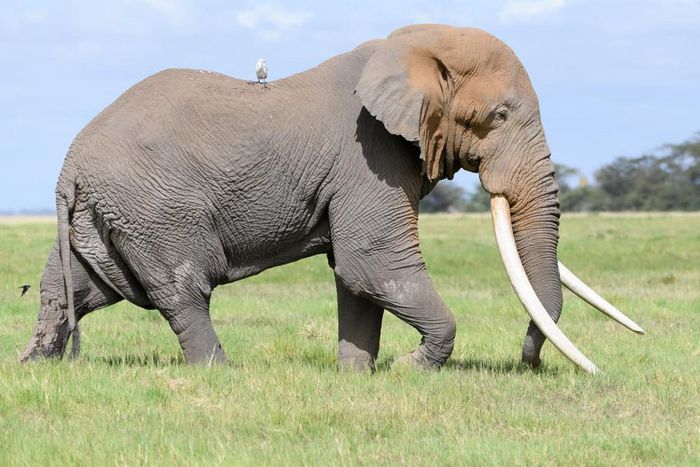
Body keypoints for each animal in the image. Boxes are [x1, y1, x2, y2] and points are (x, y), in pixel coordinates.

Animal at [21, 24, 644, 373]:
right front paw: (411, 369)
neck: (410, 48)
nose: (529, 360)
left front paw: (356, 376)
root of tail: (69, 165)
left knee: (76, 288)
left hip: (107, 215)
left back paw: (34, 366)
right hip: (155, 210)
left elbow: (355, 276)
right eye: (500, 116)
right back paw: (220, 374)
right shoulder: (369, 156)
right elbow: (373, 264)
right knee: (183, 290)